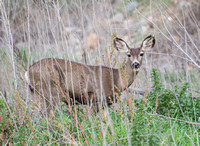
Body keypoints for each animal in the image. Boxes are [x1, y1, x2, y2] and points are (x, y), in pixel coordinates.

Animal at [25, 34, 155, 112]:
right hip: (51, 91)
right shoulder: (96, 99)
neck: (116, 79)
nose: (135, 64)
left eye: (142, 54)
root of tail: (28, 72)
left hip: (35, 93)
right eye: (128, 55)